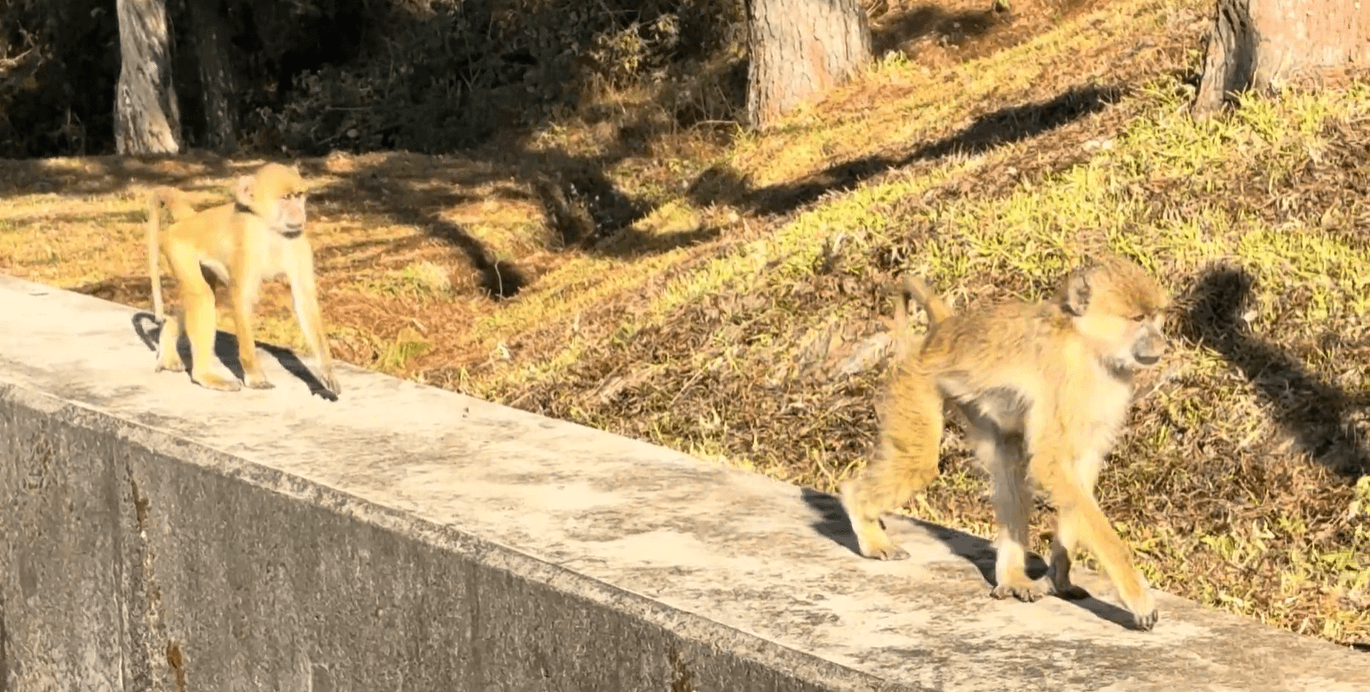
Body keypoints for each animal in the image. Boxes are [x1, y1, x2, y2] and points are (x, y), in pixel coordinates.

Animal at [146, 162, 341, 397]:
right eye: (286, 198)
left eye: (299, 196)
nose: (300, 212)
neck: (269, 229)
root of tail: (188, 221)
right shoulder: (248, 241)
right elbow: (242, 298)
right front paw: (255, 376)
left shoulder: (298, 242)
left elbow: (304, 299)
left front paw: (327, 371)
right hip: (177, 247)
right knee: (202, 297)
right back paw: (204, 375)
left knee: (200, 296)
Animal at [841, 256, 1169, 630]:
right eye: (1138, 319)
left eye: (1157, 317)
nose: (1161, 343)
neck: (1087, 344)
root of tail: (942, 332)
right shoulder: (1066, 378)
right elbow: (1051, 465)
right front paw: (1137, 596)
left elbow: (1079, 470)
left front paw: (1060, 574)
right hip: (917, 384)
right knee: (919, 464)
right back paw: (863, 519)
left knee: (1010, 462)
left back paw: (1011, 578)